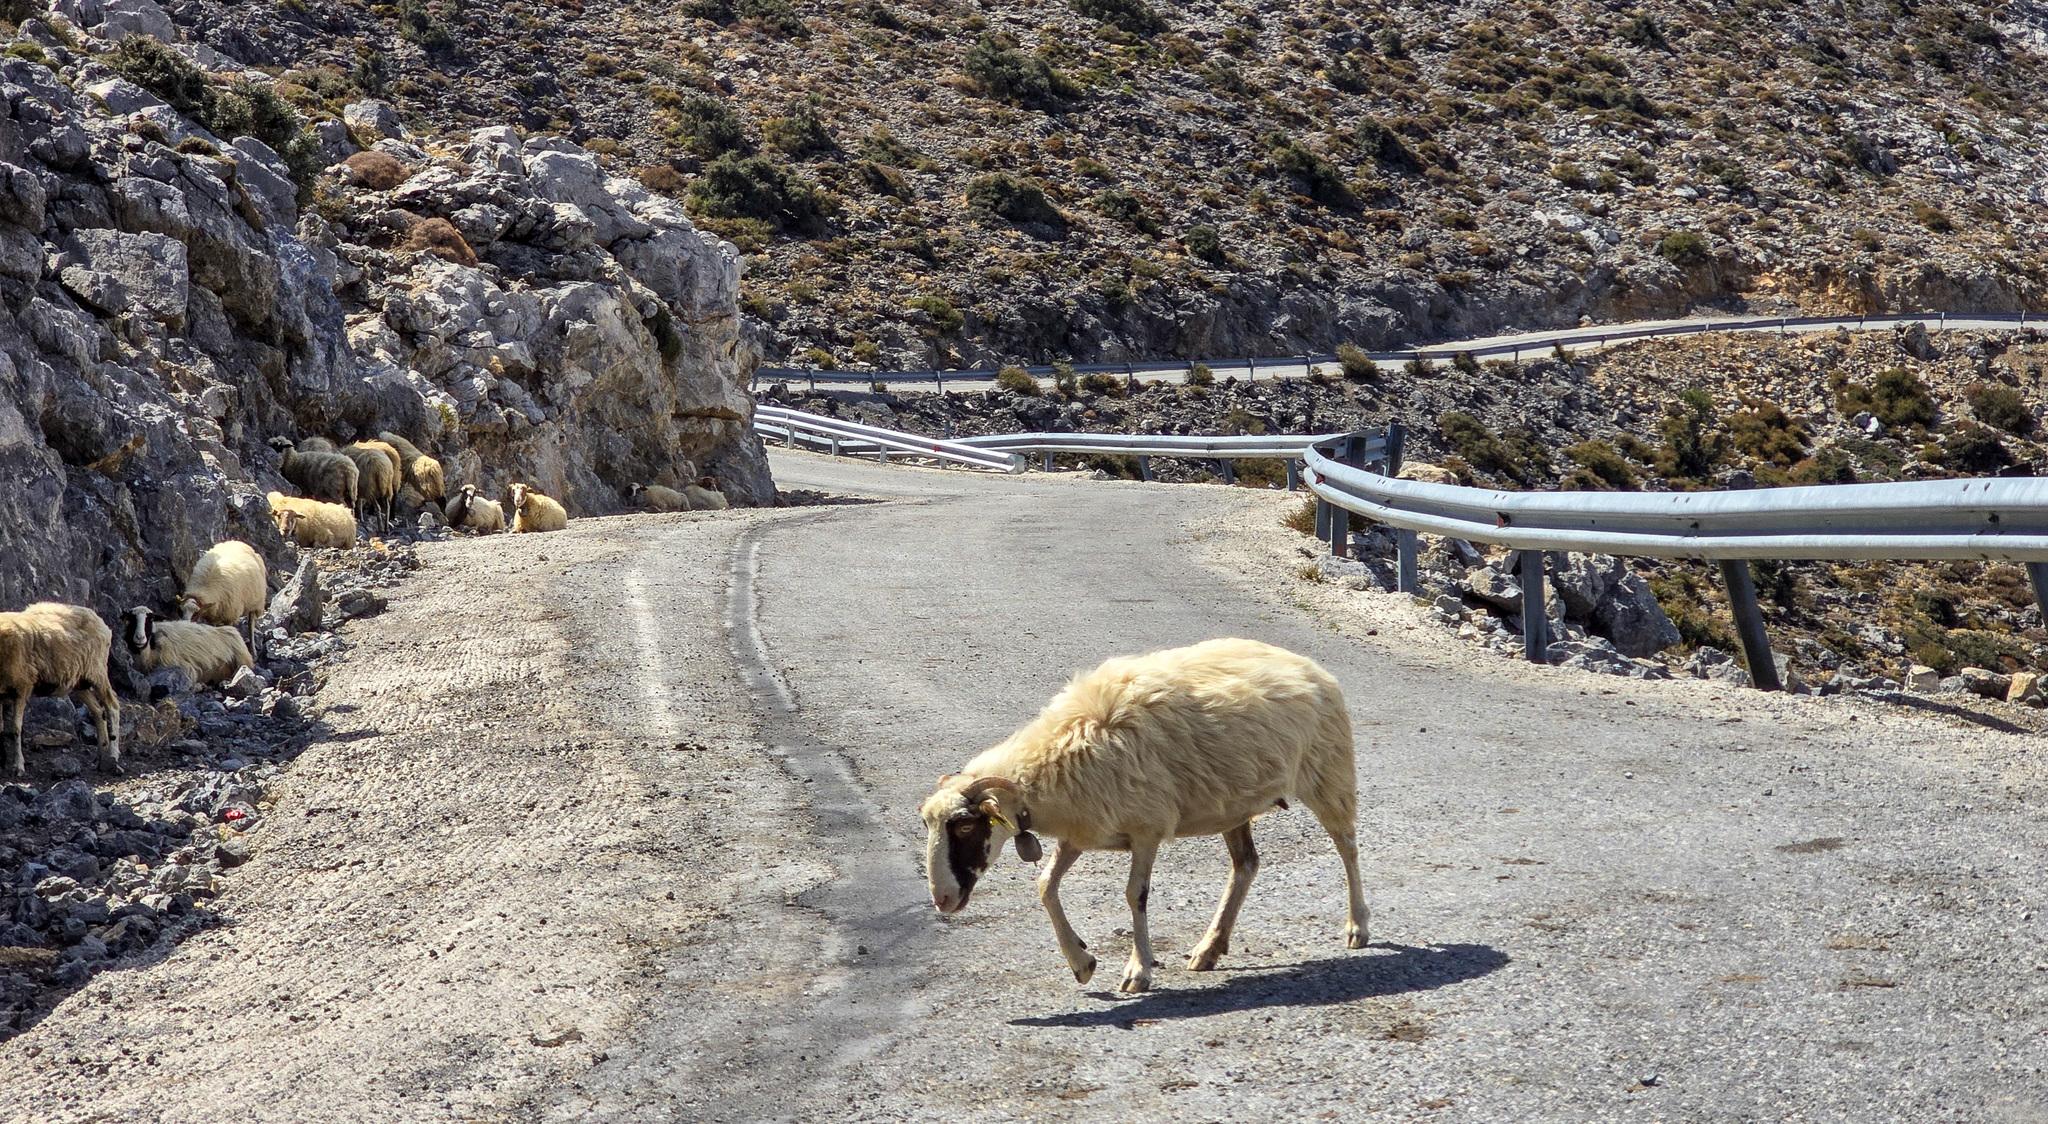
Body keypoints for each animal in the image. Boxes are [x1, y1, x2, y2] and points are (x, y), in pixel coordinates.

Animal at [0, 601, 119, 773]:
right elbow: (0, 727)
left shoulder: (22, 688)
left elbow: (16, 728)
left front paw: (19, 766)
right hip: (79, 681)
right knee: (98, 711)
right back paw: (101, 756)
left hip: (97, 671)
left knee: (112, 707)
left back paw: (114, 755)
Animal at [921, 634, 1368, 995]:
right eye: (928, 824)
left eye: (964, 826)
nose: (942, 900)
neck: (1054, 761)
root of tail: (1308, 665)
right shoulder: (1083, 832)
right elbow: (1046, 885)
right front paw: (1081, 962)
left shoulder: (1146, 829)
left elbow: (1134, 894)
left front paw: (1138, 971)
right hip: (1234, 803)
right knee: (1246, 865)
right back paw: (1209, 948)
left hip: (1327, 774)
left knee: (1347, 846)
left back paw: (1358, 927)